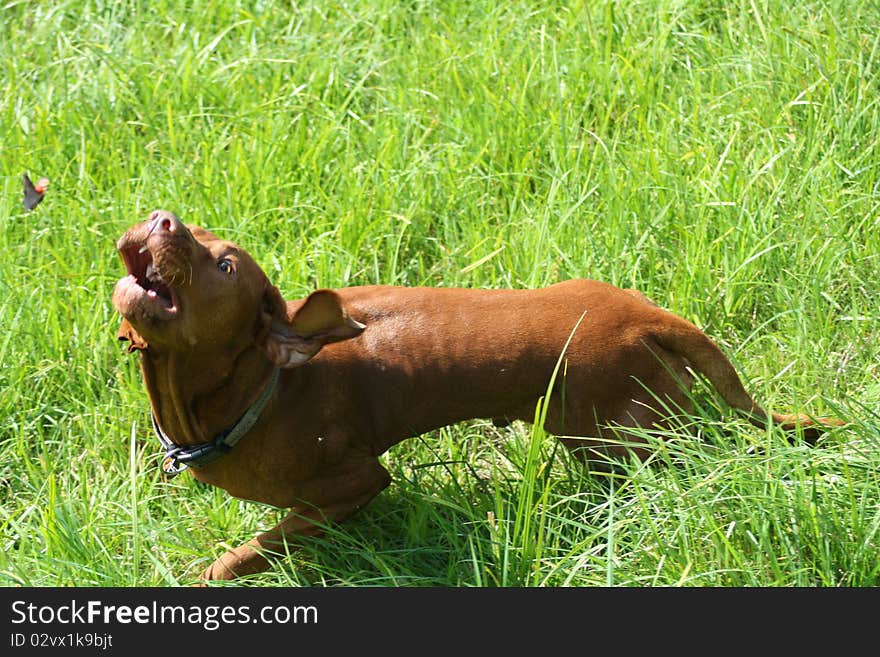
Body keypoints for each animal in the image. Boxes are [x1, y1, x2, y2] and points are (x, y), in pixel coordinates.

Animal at [113, 209, 844, 580]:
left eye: (225, 264)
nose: (160, 218)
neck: (253, 393)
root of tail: (648, 316)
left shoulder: (353, 485)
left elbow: (249, 551)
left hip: (626, 437)